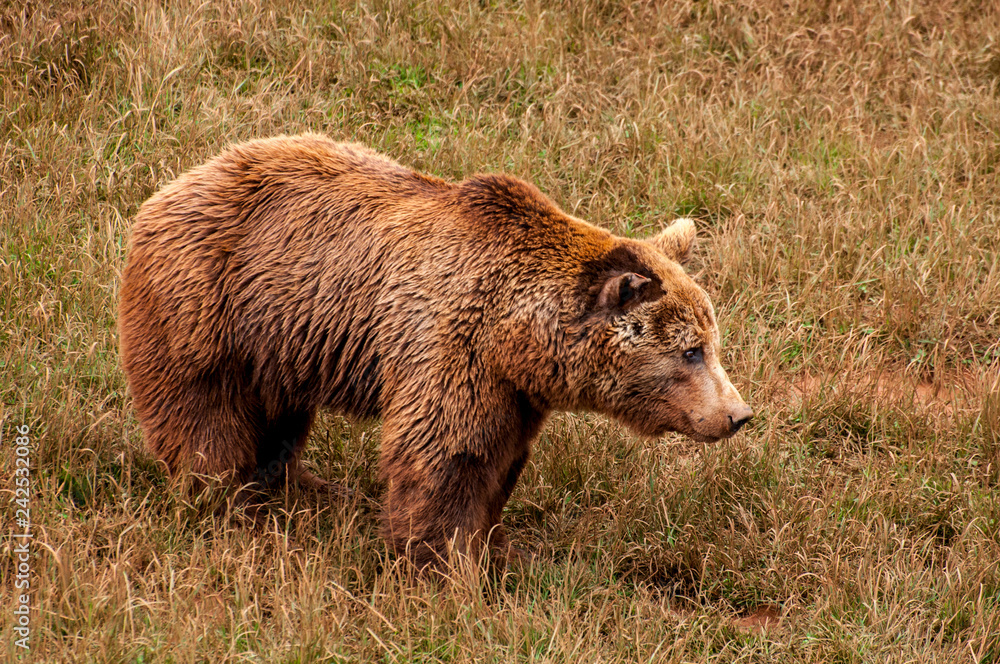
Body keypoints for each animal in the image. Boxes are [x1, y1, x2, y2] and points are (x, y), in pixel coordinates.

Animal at [119, 132, 752, 568]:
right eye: (692, 352)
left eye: (713, 343)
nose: (738, 414)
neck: (514, 336)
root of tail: (173, 185)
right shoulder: (451, 348)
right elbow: (447, 457)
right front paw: (441, 564)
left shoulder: (513, 391)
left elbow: (498, 461)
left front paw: (491, 547)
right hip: (212, 305)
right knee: (205, 417)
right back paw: (224, 501)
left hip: (282, 336)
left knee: (279, 413)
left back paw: (302, 484)